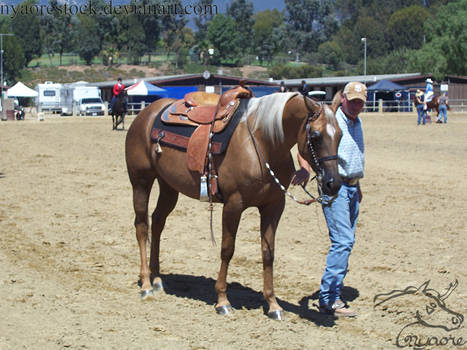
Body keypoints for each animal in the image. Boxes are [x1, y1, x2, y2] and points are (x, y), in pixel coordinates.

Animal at [124, 90, 344, 320]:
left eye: (340, 135)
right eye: (315, 136)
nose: (333, 184)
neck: (263, 143)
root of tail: (146, 113)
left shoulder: (274, 206)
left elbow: (268, 253)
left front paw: (273, 304)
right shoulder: (233, 205)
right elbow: (227, 250)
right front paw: (222, 301)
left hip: (168, 186)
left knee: (157, 222)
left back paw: (157, 279)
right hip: (141, 181)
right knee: (142, 227)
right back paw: (146, 284)